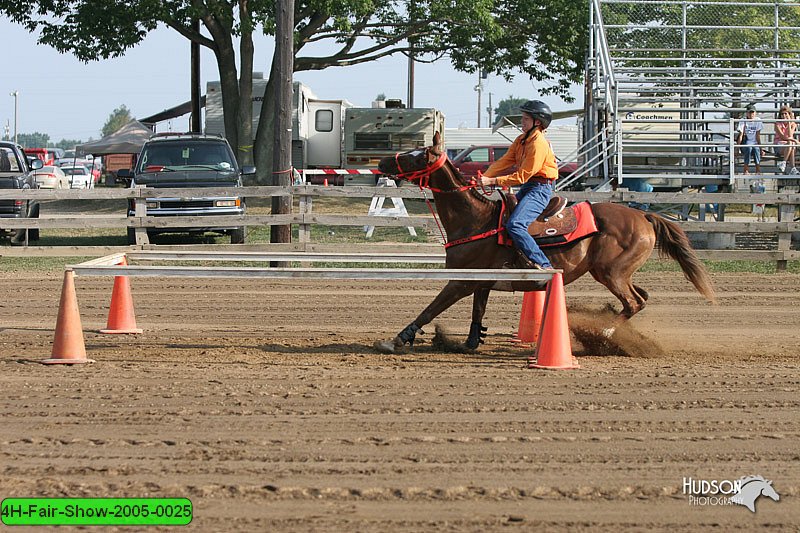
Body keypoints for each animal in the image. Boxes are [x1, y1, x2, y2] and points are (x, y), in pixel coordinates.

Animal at [376, 131, 720, 352]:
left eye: (416, 156)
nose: (381, 164)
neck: (475, 218)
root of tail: (643, 217)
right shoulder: (481, 282)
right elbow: (477, 314)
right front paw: (469, 343)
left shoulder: (460, 281)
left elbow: (430, 309)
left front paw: (396, 340)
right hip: (616, 273)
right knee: (640, 299)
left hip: (611, 272)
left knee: (634, 302)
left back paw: (603, 333)